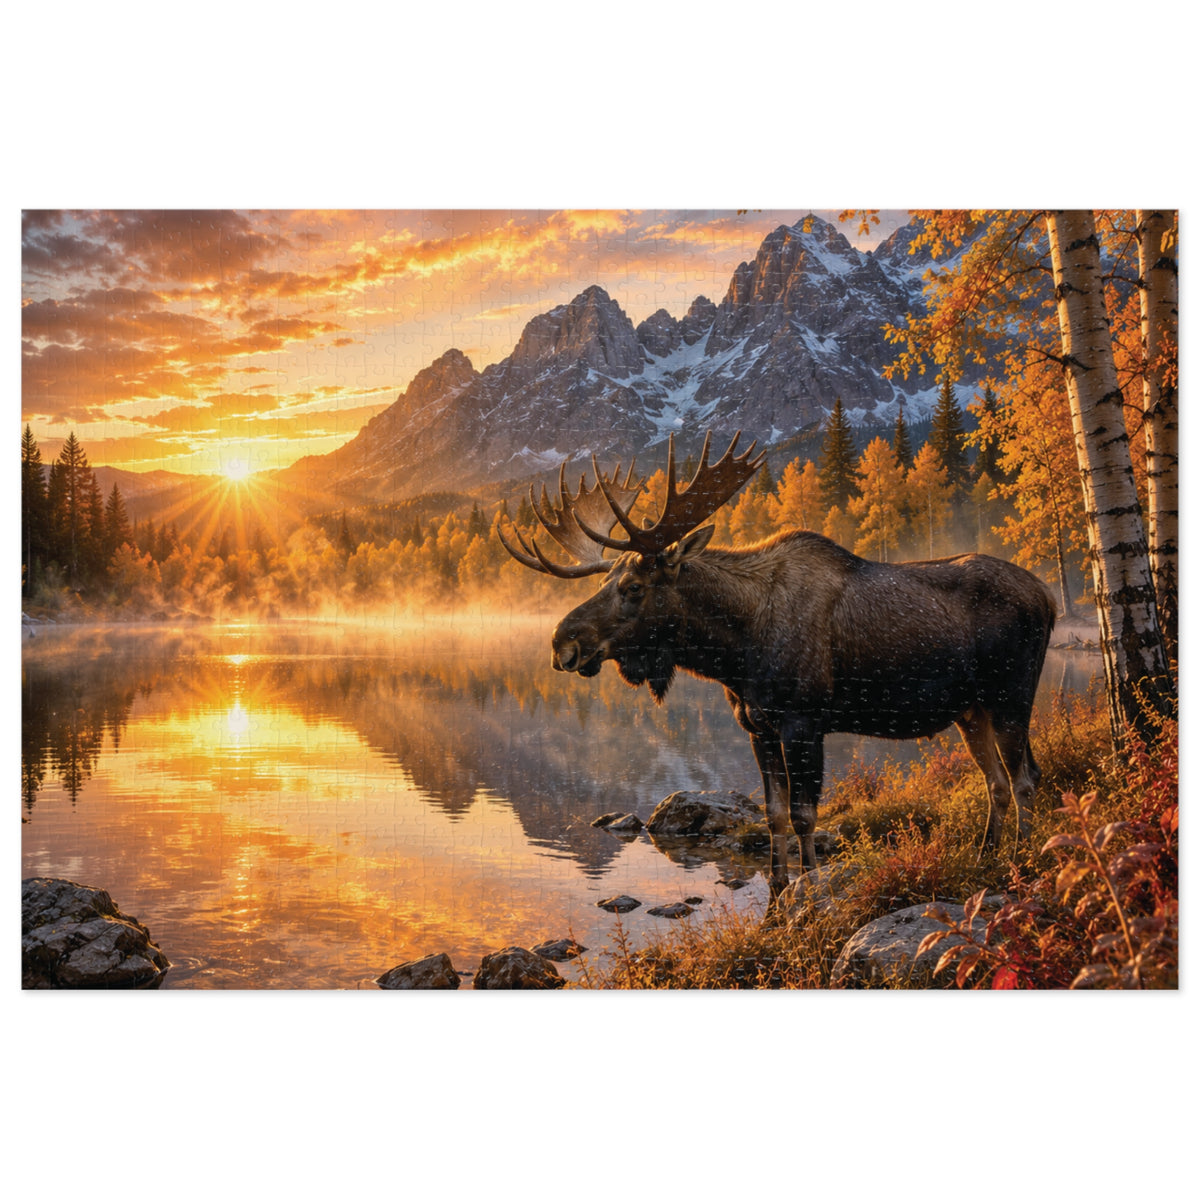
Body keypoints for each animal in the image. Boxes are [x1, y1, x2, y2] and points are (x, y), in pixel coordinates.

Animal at [498, 430, 1056, 897]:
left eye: (633, 587)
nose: (562, 643)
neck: (736, 651)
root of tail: (1049, 598)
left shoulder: (804, 722)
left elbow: (807, 815)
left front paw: (809, 891)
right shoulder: (757, 726)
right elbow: (774, 815)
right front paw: (779, 890)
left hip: (1012, 696)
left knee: (1025, 777)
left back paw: (1021, 859)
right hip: (971, 710)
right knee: (996, 781)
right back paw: (986, 854)